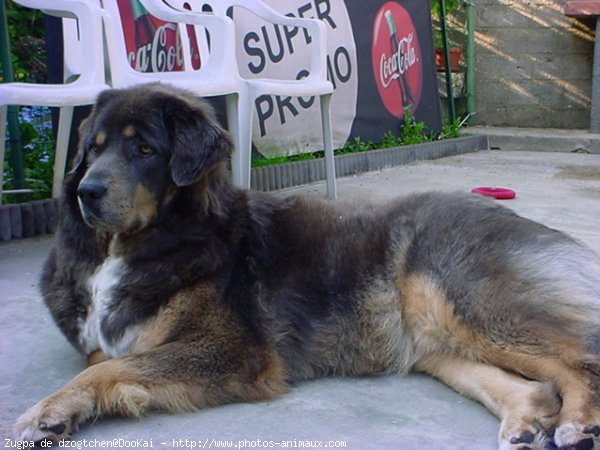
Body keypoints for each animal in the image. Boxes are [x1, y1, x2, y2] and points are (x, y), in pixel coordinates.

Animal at [11, 83, 600, 446]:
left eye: (145, 150)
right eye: (94, 148)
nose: (86, 192)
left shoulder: (232, 350)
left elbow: (111, 368)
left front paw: (46, 410)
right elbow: (104, 362)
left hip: (468, 305)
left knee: (581, 358)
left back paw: (580, 425)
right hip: (434, 342)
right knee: (534, 386)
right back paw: (524, 425)